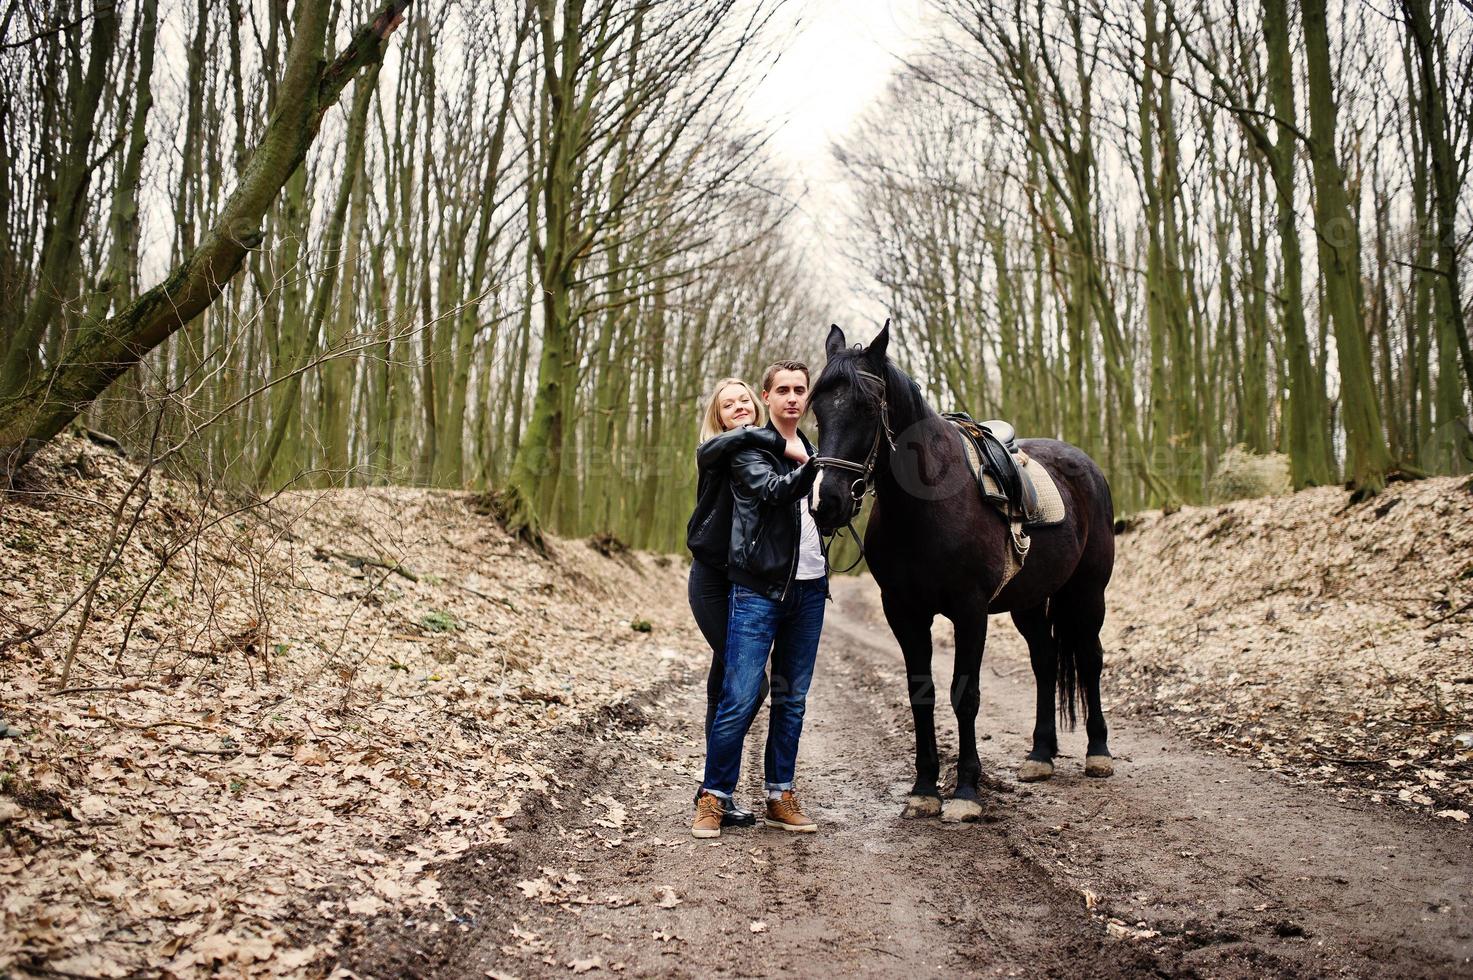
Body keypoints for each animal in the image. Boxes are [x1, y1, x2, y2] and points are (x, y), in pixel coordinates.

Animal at [807, 324, 1113, 819]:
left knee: (1089, 657)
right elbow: (923, 693)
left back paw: (1098, 753)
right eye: (816, 410)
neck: (928, 504)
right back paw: (1040, 755)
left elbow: (964, 695)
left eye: (867, 408)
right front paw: (924, 789)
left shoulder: (969, 612)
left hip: (1088, 593)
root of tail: (1085, 465)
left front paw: (967, 791)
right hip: (1029, 603)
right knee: (1045, 661)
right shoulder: (904, 613)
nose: (826, 502)